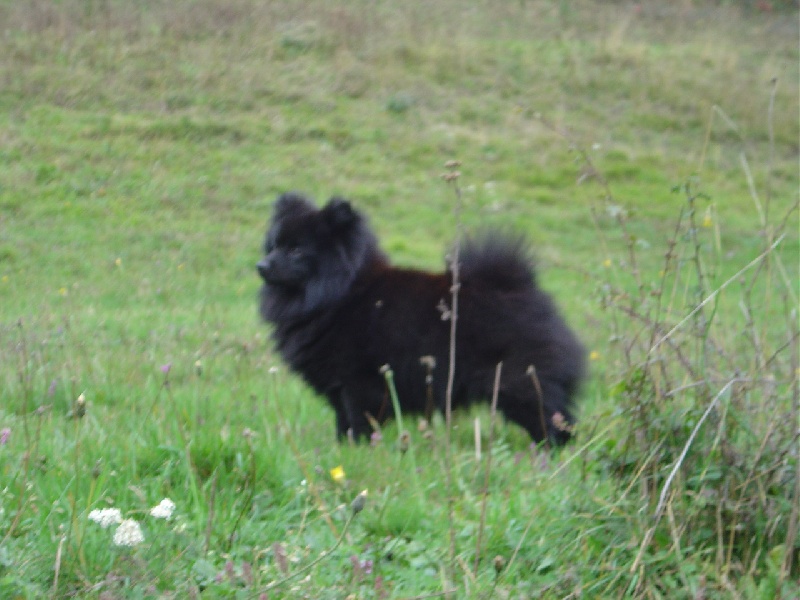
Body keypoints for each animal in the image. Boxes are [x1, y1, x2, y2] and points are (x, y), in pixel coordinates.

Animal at [260, 193, 584, 446]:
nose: (261, 265)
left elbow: (360, 423)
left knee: (552, 425)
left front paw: (359, 451)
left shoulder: (360, 384)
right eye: (273, 245)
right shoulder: (340, 390)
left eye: (296, 250)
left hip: (520, 385)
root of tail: (520, 287)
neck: (339, 293)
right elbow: (344, 425)